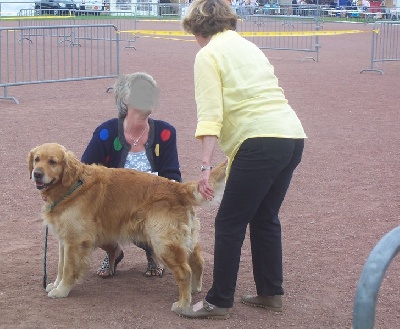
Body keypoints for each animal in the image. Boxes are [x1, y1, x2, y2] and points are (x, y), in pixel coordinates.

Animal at [28, 142, 227, 308]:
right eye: (37, 159)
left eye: (53, 162)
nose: (37, 173)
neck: (73, 185)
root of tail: (178, 188)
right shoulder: (64, 240)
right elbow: (61, 266)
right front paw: (55, 284)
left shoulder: (75, 241)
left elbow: (68, 269)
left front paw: (62, 290)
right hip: (185, 240)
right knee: (198, 262)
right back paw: (195, 289)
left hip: (163, 243)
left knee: (185, 271)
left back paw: (183, 304)